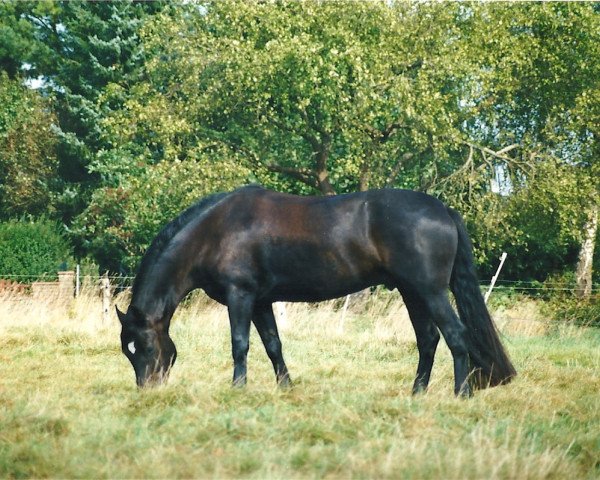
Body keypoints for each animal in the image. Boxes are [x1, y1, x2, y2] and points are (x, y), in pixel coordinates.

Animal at [117, 186, 516, 396]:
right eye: (127, 352)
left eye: (146, 347)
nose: (147, 390)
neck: (215, 232)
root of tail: (442, 209)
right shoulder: (261, 302)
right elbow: (273, 345)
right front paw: (286, 388)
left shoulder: (240, 296)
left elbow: (240, 344)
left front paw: (238, 388)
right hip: (411, 292)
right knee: (428, 339)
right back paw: (417, 392)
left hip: (430, 291)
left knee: (455, 335)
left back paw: (460, 393)